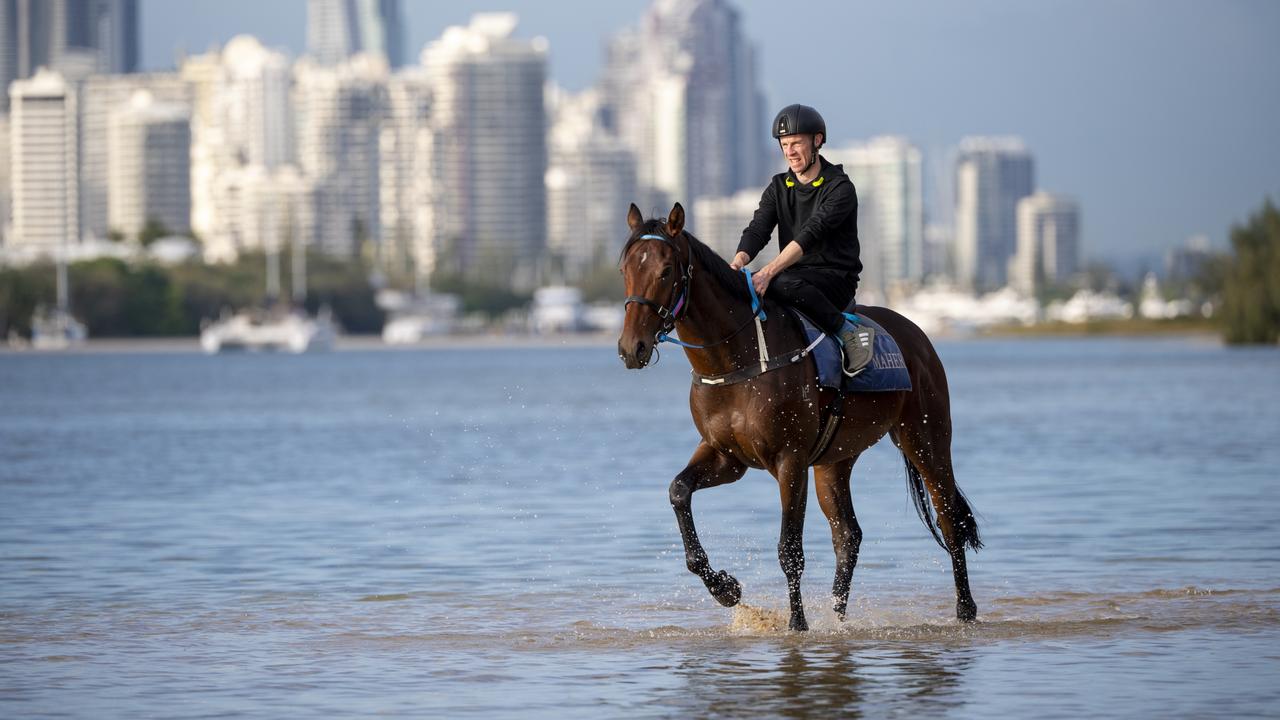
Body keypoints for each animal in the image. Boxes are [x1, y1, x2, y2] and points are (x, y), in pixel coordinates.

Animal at [616, 199, 977, 627]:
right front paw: (724, 587)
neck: (739, 358)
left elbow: (789, 549)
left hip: (925, 439)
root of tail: (918, 337)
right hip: (834, 462)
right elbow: (678, 491)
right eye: (625, 270)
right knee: (848, 536)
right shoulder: (726, 456)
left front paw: (797, 624)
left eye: (666, 271)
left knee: (949, 519)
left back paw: (965, 609)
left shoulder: (789, 460)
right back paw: (838, 618)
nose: (631, 348)